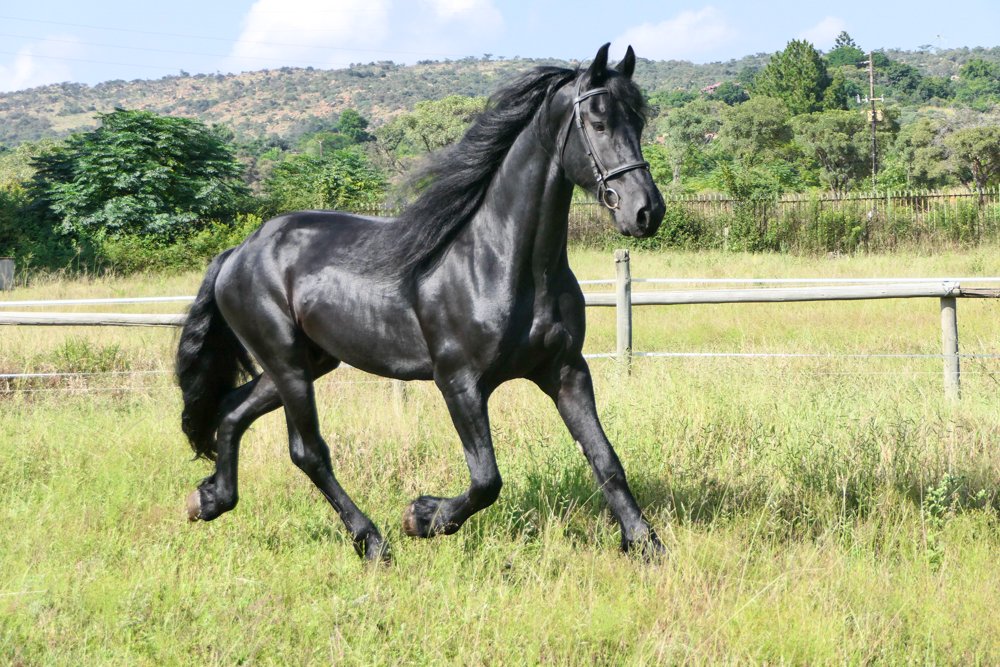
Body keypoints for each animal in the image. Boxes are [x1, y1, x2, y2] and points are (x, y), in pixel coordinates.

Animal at [177, 44, 668, 560]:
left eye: (639, 121)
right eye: (598, 122)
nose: (646, 211)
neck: (501, 261)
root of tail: (237, 253)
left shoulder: (566, 371)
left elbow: (605, 460)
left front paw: (645, 544)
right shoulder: (458, 382)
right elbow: (487, 480)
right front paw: (422, 516)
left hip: (305, 363)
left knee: (231, 410)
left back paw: (209, 499)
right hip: (288, 365)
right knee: (308, 452)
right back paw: (373, 542)